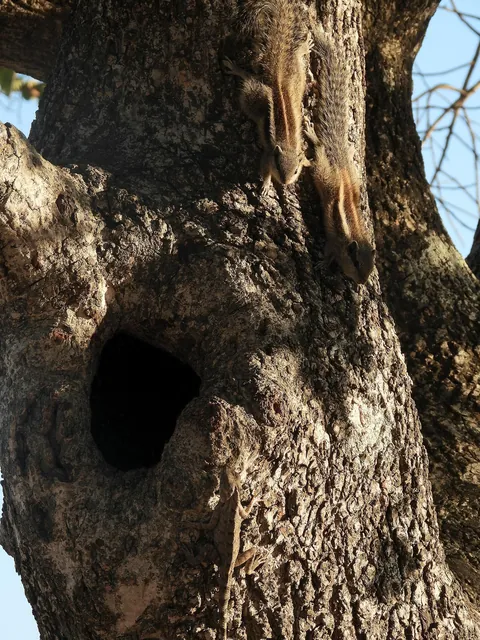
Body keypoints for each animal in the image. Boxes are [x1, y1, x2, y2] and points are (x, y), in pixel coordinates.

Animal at [223, 0, 311, 195]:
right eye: (278, 166)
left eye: (296, 171)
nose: (285, 182)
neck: (286, 145)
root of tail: (278, 80)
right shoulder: (268, 154)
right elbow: (264, 170)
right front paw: (265, 184)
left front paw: (308, 162)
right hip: (255, 95)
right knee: (249, 79)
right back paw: (236, 69)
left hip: (297, 73)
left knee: (296, 56)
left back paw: (304, 47)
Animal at [306, 31, 375, 285]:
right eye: (356, 263)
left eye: (371, 265)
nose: (362, 282)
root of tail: (342, 166)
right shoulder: (335, 242)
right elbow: (328, 252)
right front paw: (324, 264)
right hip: (324, 175)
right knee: (318, 156)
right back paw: (312, 138)